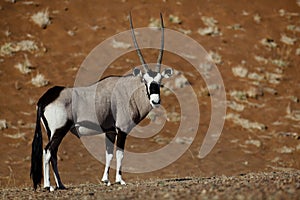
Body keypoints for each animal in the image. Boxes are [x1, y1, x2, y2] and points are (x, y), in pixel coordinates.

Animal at [30, 13, 173, 190]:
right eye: (145, 82)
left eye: (160, 83)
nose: (155, 100)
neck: (128, 91)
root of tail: (46, 98)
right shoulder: (122, 130)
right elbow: (120, 153)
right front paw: (120, 180)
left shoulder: (110, 131)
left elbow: (109, 154)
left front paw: (106, 180)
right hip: (59, 130)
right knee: (48, 151)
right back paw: (48, 185)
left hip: (53, 132)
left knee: (54, 153)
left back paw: (61, 184)